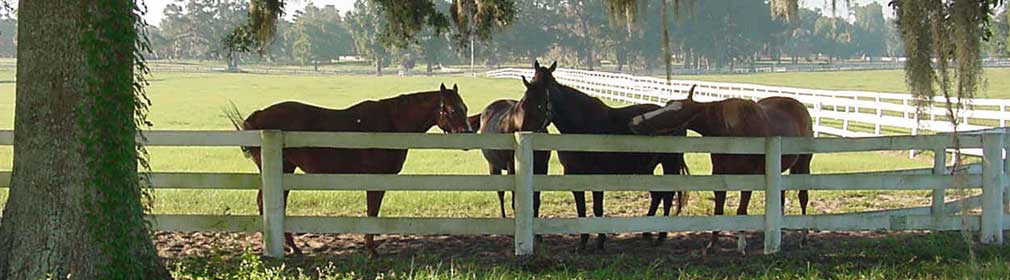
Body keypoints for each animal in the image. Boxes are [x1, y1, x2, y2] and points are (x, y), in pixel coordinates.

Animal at [225, 81, 472, 255]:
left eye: (465, 107)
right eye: (451, 109)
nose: (468, 133)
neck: (391, 124)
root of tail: (258, 117)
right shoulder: (376, 179)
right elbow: (372, 212)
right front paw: (371, 250)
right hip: (283, 169)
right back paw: (289, 247)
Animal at [466, 71, 549, 218]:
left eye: (540, 105)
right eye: (523, 104)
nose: (522, 134)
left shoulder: (542, 168)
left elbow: (536, 201)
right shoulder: (512, 168)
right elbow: (515, 201)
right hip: (493, 166)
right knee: (500, 193)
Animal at [529, 59, 686, 249]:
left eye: (545, 92)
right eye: (530, 84)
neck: (582, 127)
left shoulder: (597, 176)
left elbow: (597, 209)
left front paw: (600, 242)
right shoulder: (574, 175)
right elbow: (581, 209)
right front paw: (583, 243)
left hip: (669, 164)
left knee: (667, 195)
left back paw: (661, 236)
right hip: (647, 168)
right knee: (658, 196)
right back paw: (647, 233)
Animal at [626, 84, 816, 250]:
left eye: (676, 113)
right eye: (667, 104)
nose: (635, 121)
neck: (732, 131)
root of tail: (801, 107)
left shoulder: (749, 178)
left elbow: (741, 210)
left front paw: (741, 245)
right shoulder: (719, 174)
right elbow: (718, 208)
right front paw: (712, 243)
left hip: (803, 164)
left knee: (803, 197)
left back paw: (804, 237)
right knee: (781, 197)